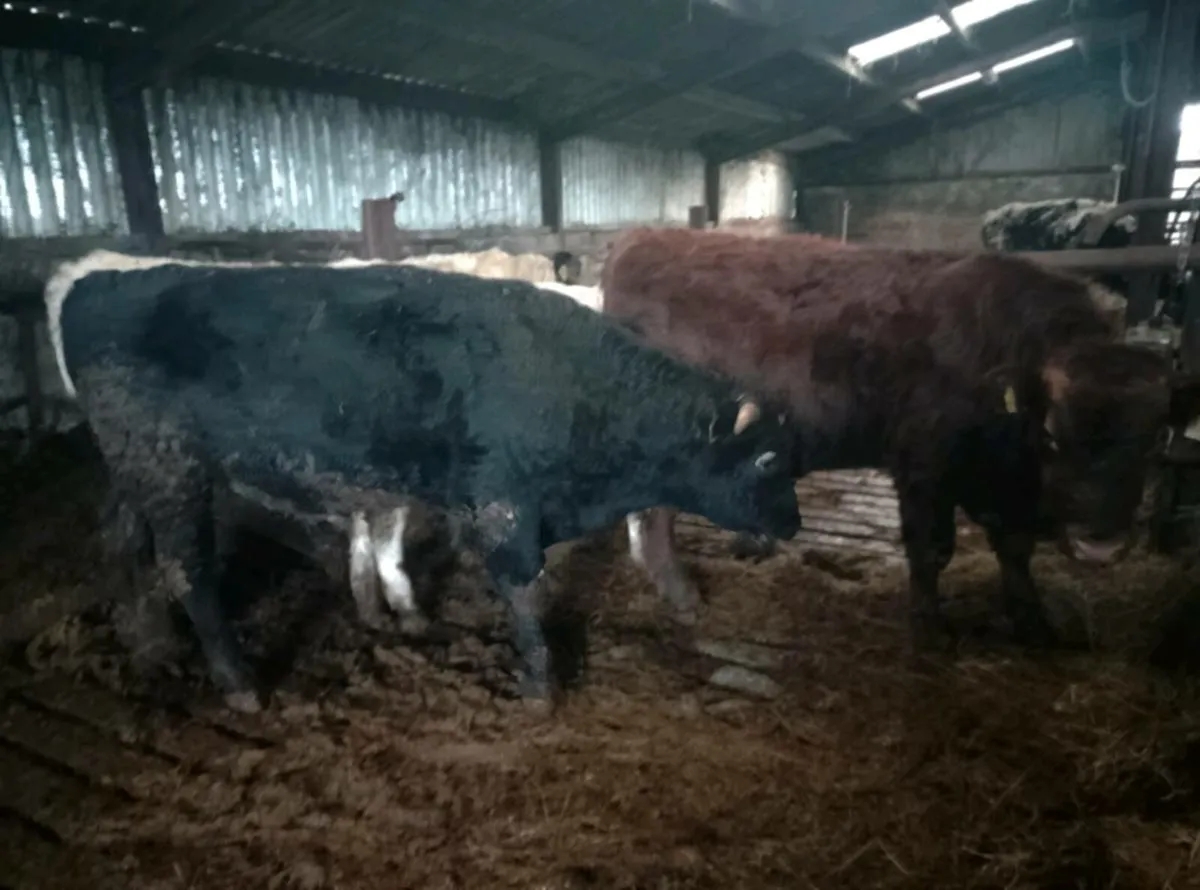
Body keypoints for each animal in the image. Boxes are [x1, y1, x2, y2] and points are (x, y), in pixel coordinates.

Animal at [46, 249, 802, 712]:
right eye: (769, 461)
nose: (793, 524)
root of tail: (94, 271)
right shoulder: (505, 505)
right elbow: (523, 595)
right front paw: (541, 685)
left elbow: (391, 547)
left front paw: (408, 614)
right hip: (169, 468)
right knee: (186, 569)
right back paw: (236, 682)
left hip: (132, 471)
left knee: (123, 548)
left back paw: (152, 645)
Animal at [601, 227, 1198, 653]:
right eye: (1052, 434)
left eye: (1154, 438)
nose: (1100, 544)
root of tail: (642, 240)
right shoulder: (922, 467)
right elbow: (931, 551)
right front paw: (931, 632)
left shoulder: (1000, 485)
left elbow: (1013, 551)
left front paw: (1035, 625)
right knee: (655, 515)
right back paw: (682, 596)